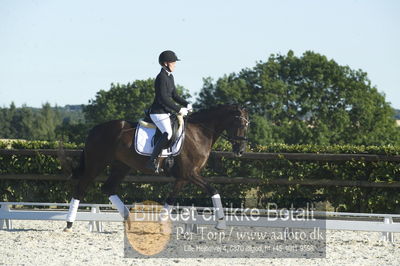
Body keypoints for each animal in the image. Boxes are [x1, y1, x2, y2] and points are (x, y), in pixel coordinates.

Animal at [61, 103, 250, 232]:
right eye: (240, 124)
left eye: (247, 125)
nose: (240, 151)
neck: (199, 134)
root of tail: (95, 129)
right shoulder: (190, 173)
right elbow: (213, 190)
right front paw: (221, 223)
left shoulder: (182, 177)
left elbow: (171, 199)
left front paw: (160, 224)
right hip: (96, 164)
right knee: (81, 188)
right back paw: (69, 224)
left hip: (121, 166)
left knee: (108, 188)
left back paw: (130, 220)